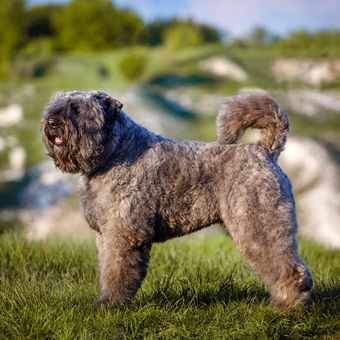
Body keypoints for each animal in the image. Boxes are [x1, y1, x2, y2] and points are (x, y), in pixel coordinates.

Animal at [41, 91, 312, 310]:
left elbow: (118, 272)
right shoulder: (105, 235)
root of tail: (264, 150)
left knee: (289, 268)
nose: (52, 123)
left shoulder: (123, 234)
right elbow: (107, 269)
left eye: (77, 109)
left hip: (259, 225)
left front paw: (111, 305)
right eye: (55, 106)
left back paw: (288, 305)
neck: (115, 151)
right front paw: (106, 300)